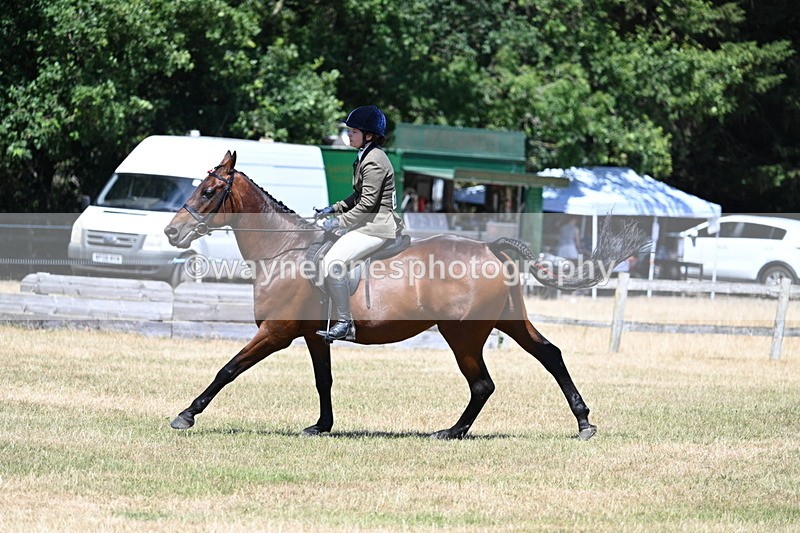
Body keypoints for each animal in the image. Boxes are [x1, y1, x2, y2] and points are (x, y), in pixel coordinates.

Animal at [164, 150, 647, 440]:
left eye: (209, 191)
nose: (172, 232)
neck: (285, 251)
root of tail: (490, 247)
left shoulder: (276, 331)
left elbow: (228, 369)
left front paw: (186, 415)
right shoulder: (312, 335)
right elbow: (324, 380)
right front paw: (322, 426)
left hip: (463, 334)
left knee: (483, 383)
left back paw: (452, 432)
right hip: (508, 321)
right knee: (550, 355)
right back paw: (583, 422)